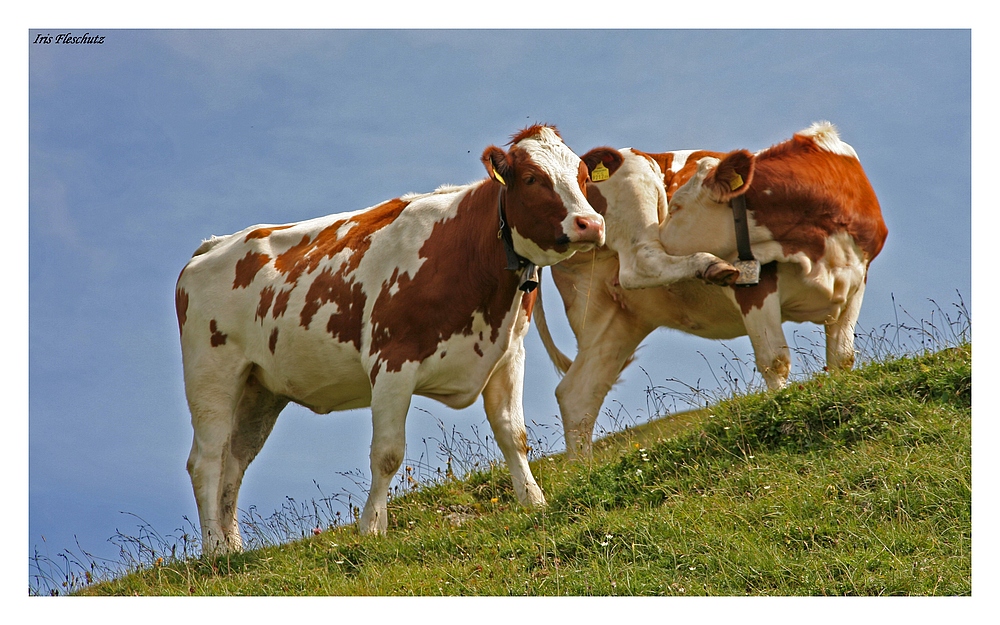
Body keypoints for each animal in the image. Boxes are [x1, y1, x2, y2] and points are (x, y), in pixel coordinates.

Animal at [175, 125, 604, 552]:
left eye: (584, 176)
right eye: (532, 178)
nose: (591, 224)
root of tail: (215, 244)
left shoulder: (508, 354)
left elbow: (513, 435)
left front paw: (533, 501)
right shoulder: (392, 360)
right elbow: (387, 453)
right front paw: (372, 527)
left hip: (259, 388)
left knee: (234, 460)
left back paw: (233, 549)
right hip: (211, 373)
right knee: (206, 461)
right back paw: (214, 549)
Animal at [540, 122, 892, 456]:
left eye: (677, 207)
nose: (662, 227)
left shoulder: (856, 281)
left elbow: (841, 357)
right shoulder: (753, 284)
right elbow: (775, 359)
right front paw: (779, 409)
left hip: (614, 318)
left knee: (578, 395)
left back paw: (582, 470)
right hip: (634, 179)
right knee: (640, 260)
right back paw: (708, 264)